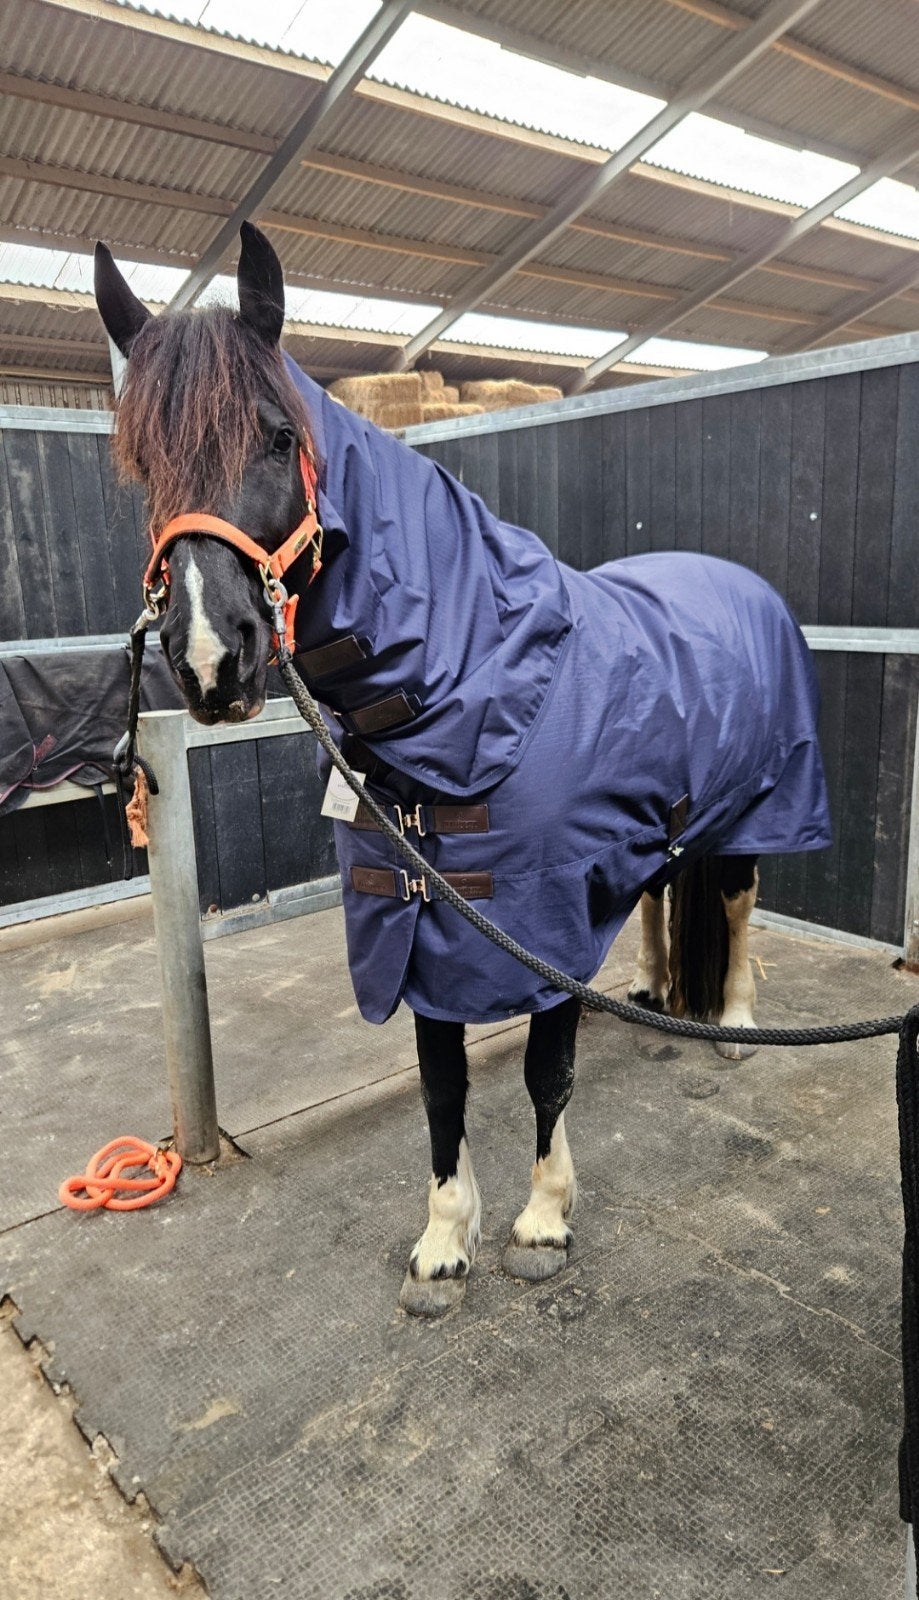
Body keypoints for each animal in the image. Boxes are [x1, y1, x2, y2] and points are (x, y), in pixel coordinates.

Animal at [94, 224, 831, 1318]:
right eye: (143, 464)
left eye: (274, 438)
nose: (208, 661)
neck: (475, 678)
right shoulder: (422, 925)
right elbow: (443, 1087)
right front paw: (444, 1242)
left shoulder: (540, 918)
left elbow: (543, 1075)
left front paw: (541, 1222)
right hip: (661, 827)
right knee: (663, 894)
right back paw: (652, 990)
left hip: (752, 813)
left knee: (735, 905)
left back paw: (733, 1023)